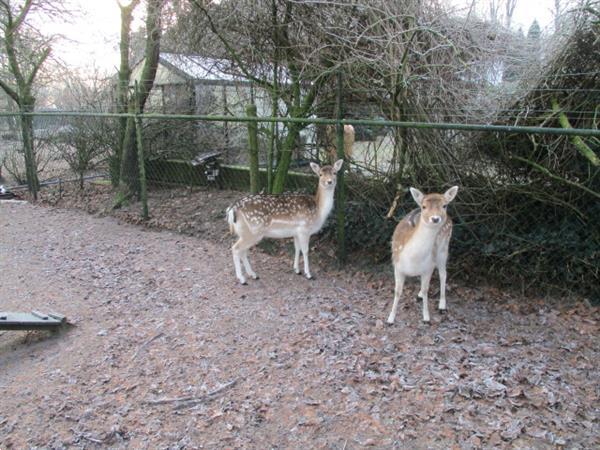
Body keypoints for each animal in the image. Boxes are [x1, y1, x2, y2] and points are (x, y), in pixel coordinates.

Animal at [386, 185, 458, 324]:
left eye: (444, 205)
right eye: (424, 206)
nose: (435, 218)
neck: (413, 259)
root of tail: (449, 218)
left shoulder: (427, 269)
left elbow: (426, 290)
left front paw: (426, 318)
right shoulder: (397, 265)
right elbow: (397, 291)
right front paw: (390, 318)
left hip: (443, 249)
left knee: (443, 274)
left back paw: (442, 306)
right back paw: (419, 295)